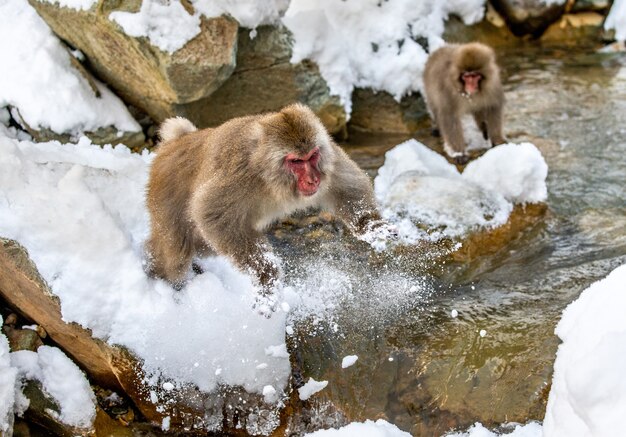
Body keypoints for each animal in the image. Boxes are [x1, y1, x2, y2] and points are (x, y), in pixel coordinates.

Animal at [144, 104, 382, 292]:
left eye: (312, 156)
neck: (268, 174)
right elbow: (211, 214)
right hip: (165, 198)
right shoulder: (239, 174)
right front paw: (266, 273)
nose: (313, 180)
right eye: (296, 161)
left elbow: (346, 186)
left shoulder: (328, 154)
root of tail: (175, 142)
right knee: (176, 255)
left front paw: (371, 226)